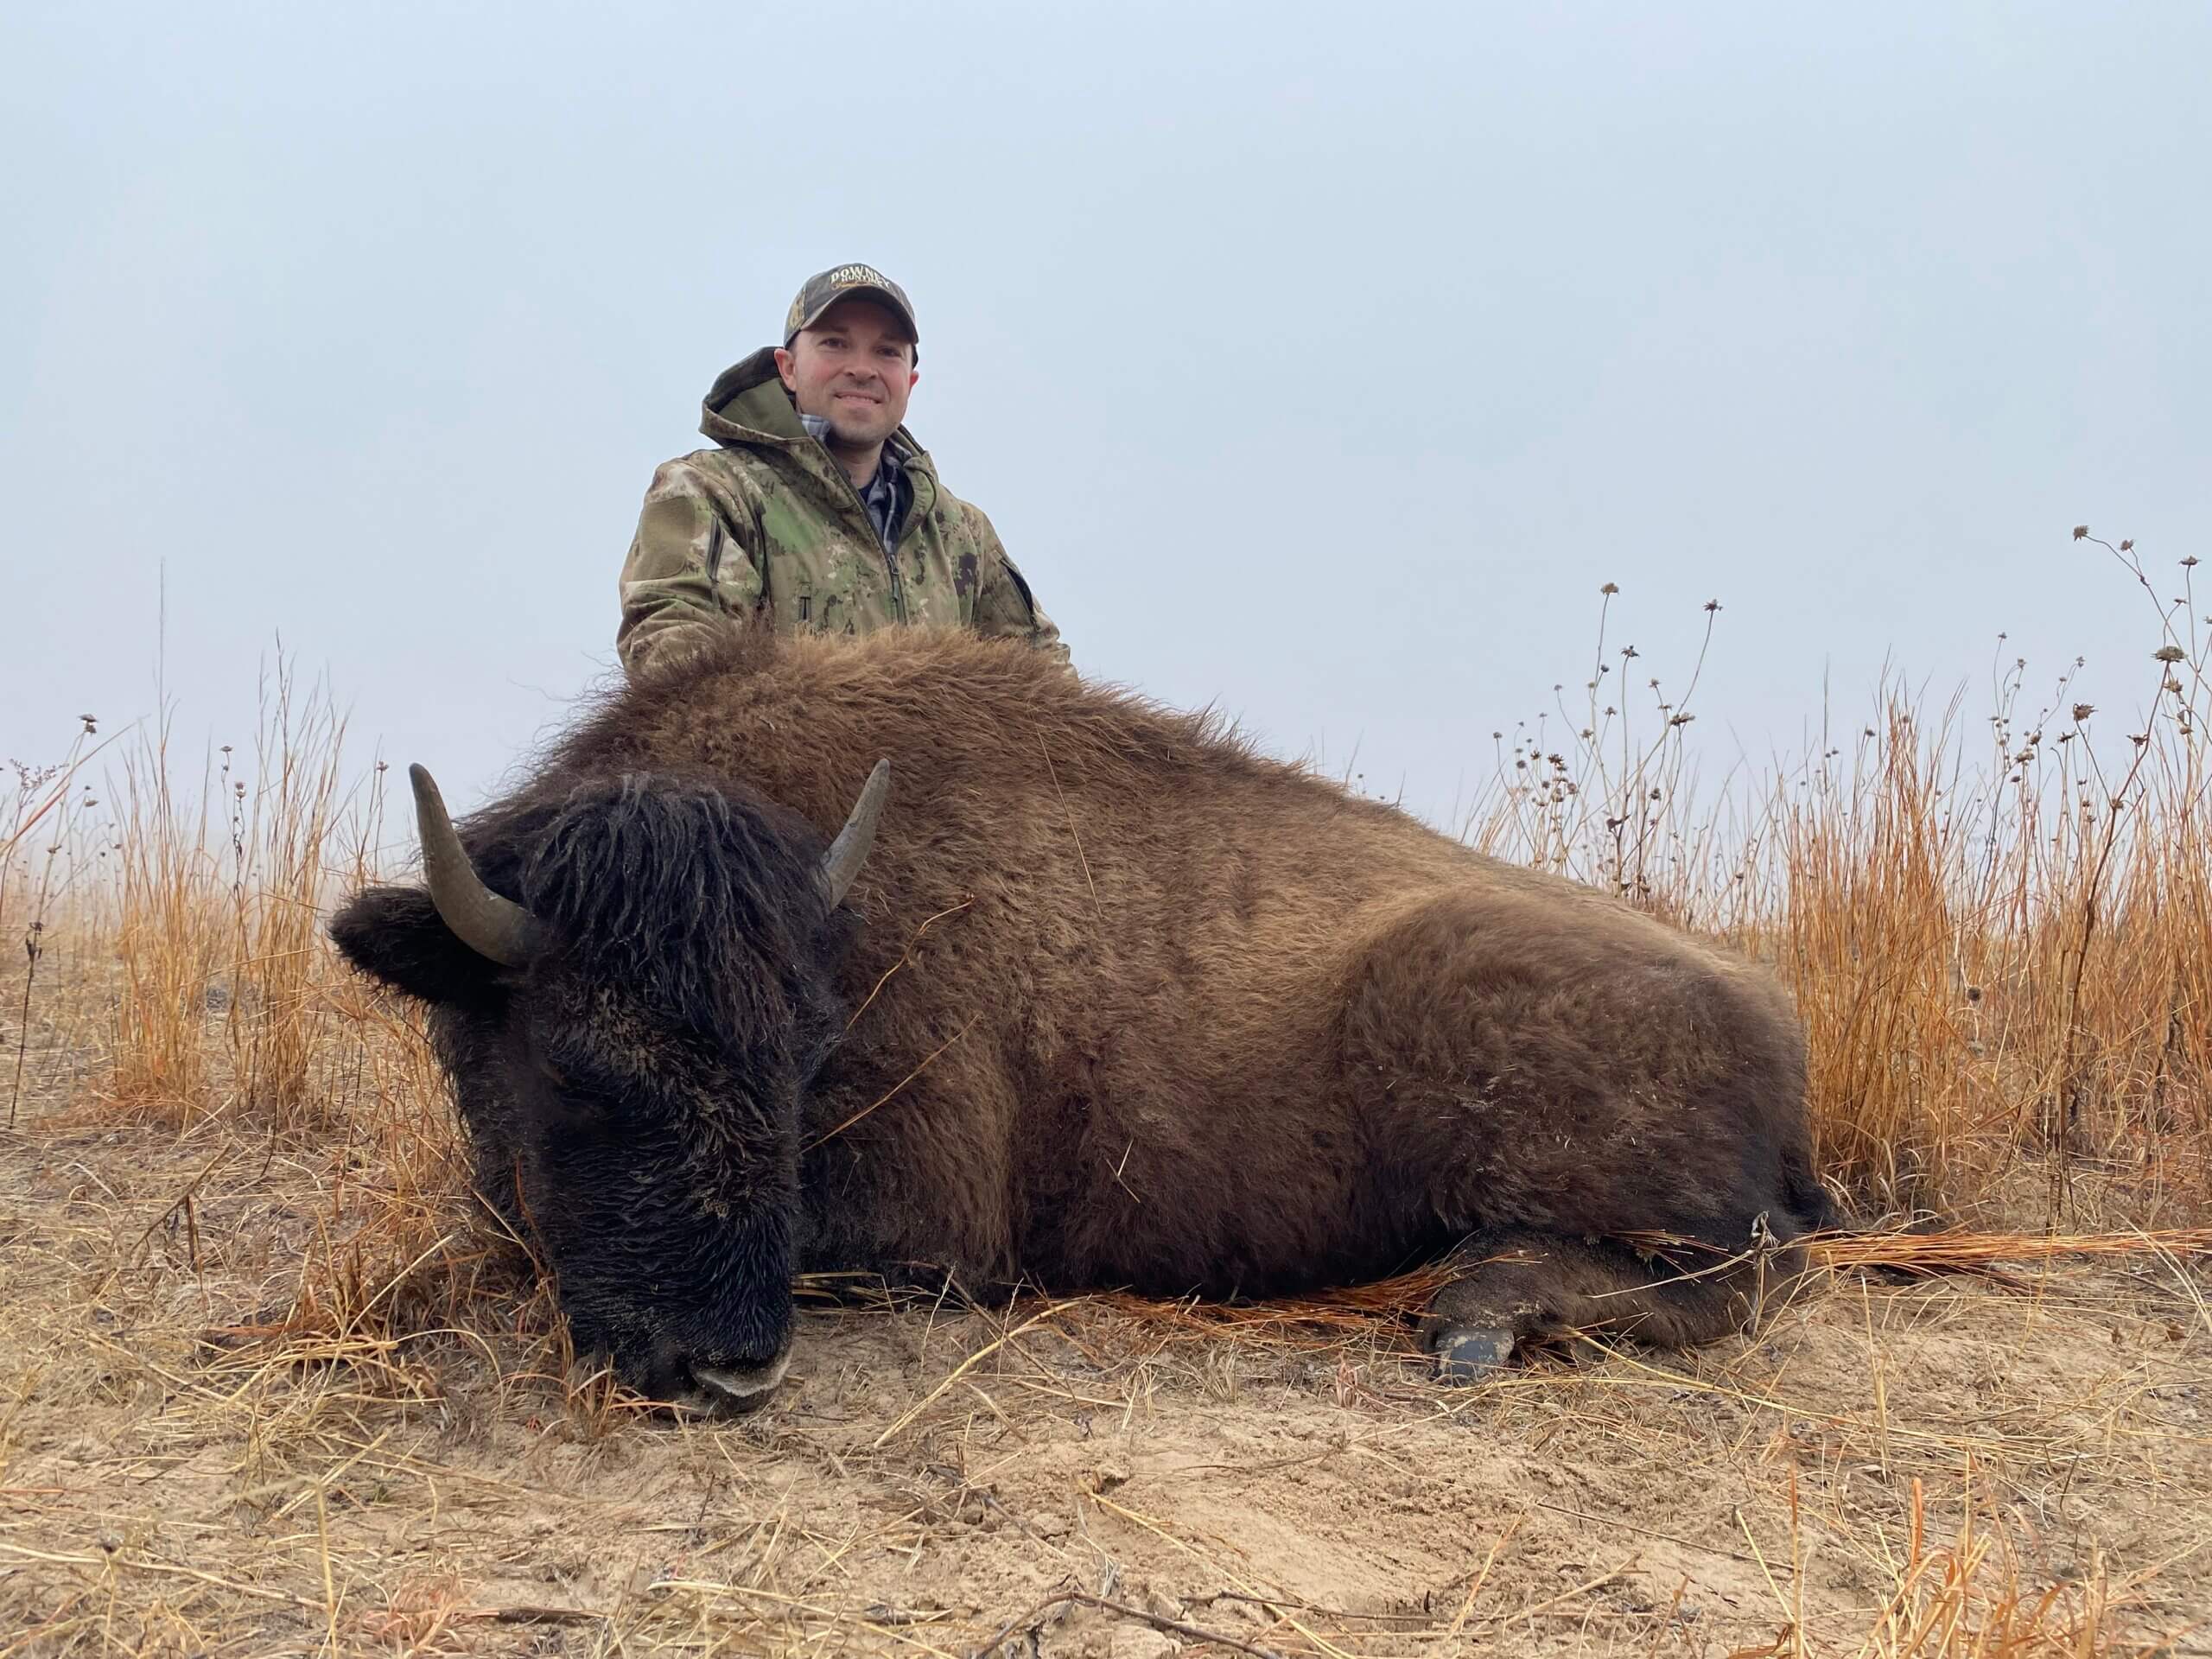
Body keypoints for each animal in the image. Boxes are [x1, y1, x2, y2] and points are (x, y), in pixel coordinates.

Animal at [331, 626, 1832, 1413]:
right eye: (573, 1068)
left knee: (1738, 1275)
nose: (727, 1370)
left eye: (806, 1061)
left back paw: (1475, 1314)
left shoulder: (928, 1233)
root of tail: (1767, 1003)